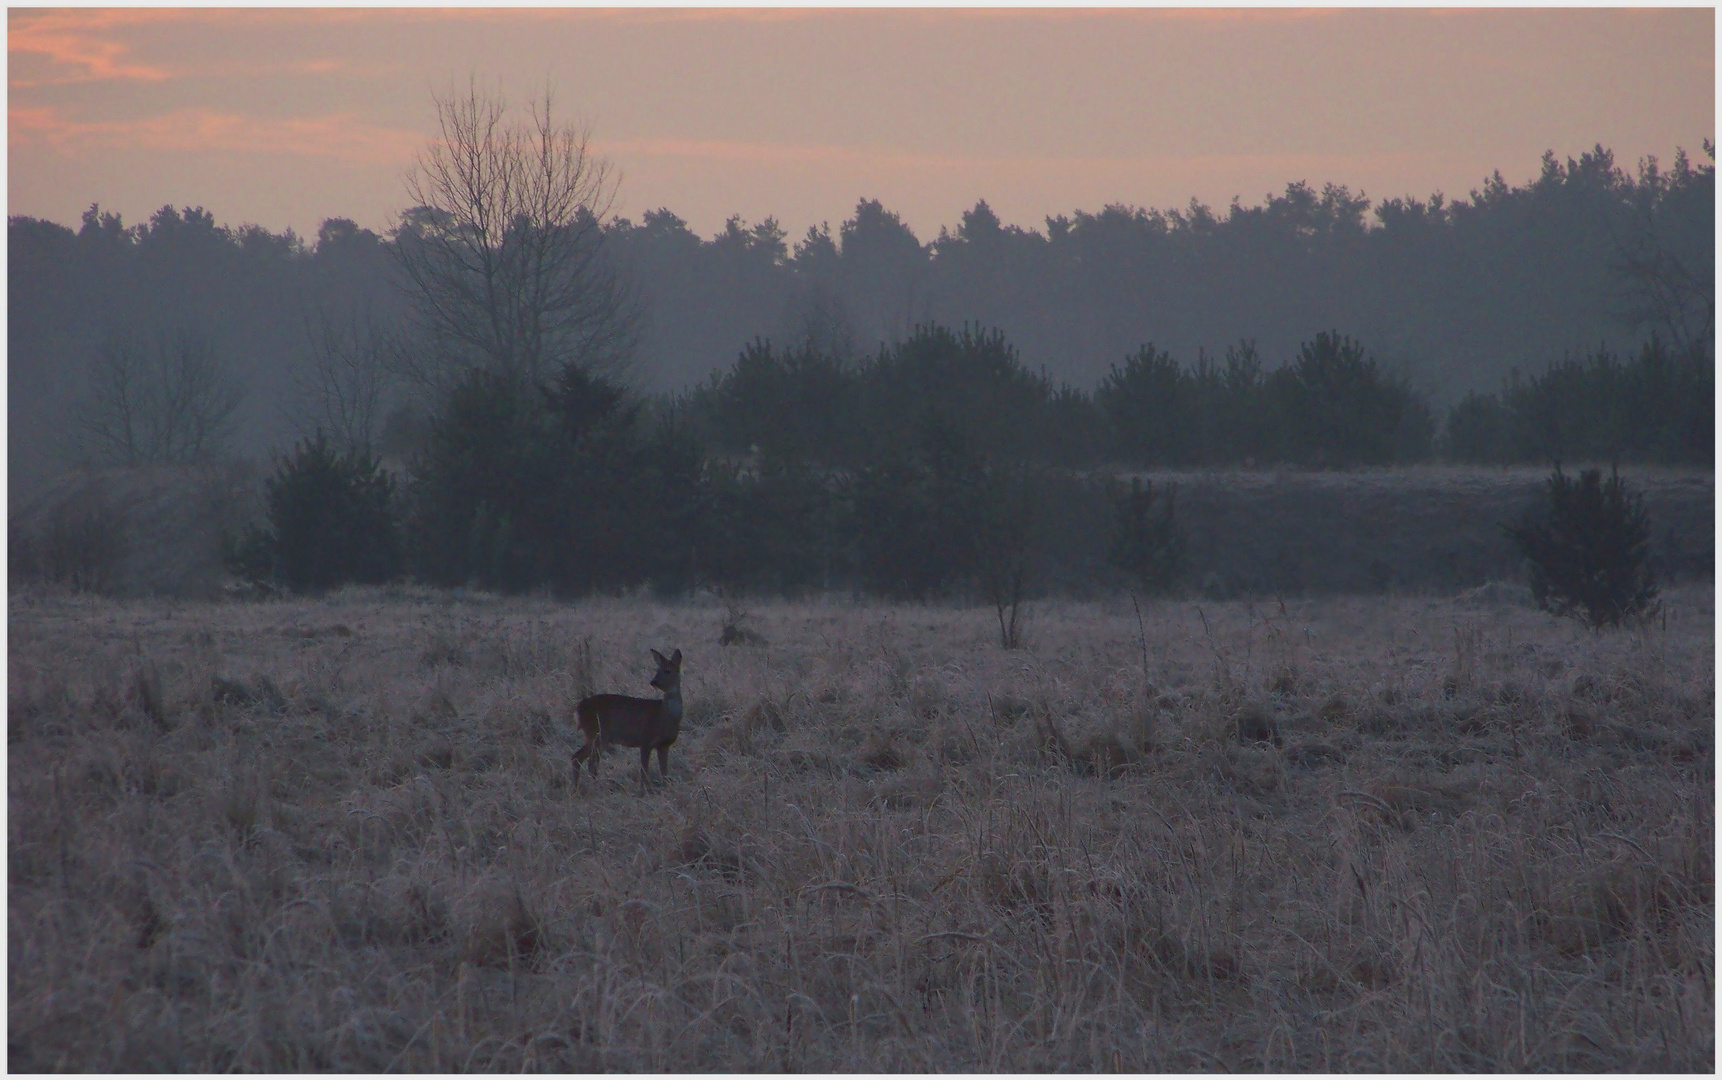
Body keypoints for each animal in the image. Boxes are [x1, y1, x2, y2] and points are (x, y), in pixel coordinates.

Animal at [571, 651, 678, 795]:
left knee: (587, 761)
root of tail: (578, 710)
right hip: (597, 734)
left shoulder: (664, 745)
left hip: (596, 736)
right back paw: (586, 788)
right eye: (657, 669)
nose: (653, 682)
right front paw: (643, 791)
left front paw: (665, 788)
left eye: (667, 670)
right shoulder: (646, 740)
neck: (665, 715)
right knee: (581, 759)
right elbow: (644, 769)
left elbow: (664, 772)